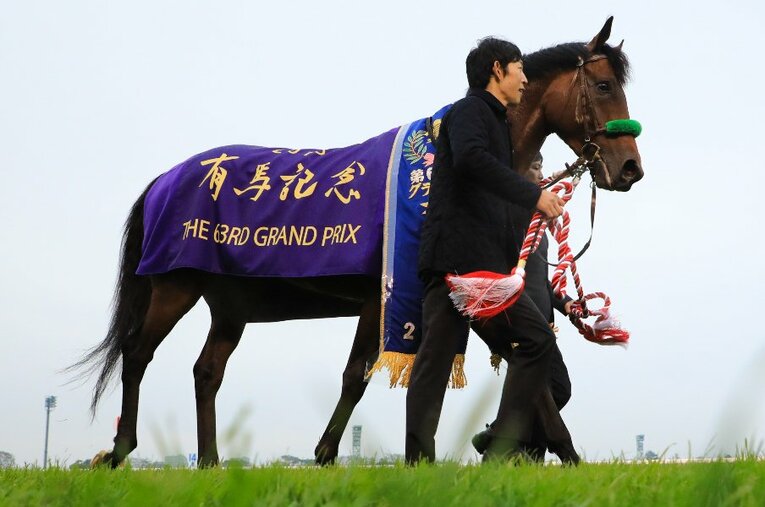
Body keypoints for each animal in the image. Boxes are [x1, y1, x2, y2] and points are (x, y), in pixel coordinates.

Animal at [73, 17, 643, 468]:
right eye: (602, 85)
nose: (630, 168)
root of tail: (164, 180)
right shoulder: (387, 296)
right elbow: (356, 376)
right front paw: (326, 454)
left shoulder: (476, 294)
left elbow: (533, 370)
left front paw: (557, 454)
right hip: (175, 286)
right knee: (137, 353)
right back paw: (120, 450)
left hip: (229, 303)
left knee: (207, 371)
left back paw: (210, 462)